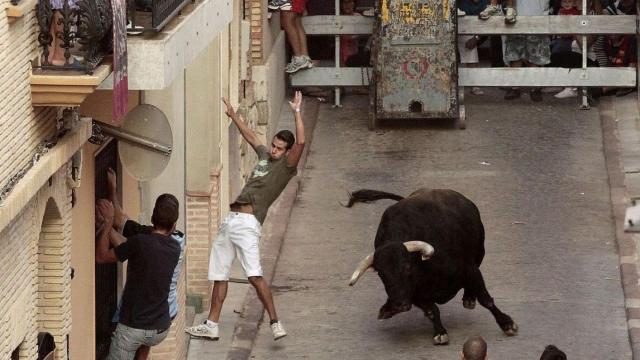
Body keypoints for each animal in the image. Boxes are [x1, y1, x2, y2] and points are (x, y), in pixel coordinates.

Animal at [348, 187, 516, 344]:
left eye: (407, 267)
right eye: (381, 274)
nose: (399, 304)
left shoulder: (469, 269)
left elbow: (485, 299)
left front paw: (507, 324)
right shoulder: (415, 294)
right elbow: (432, 310)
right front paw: (440, 332)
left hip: (480, 252)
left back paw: (469, 298)